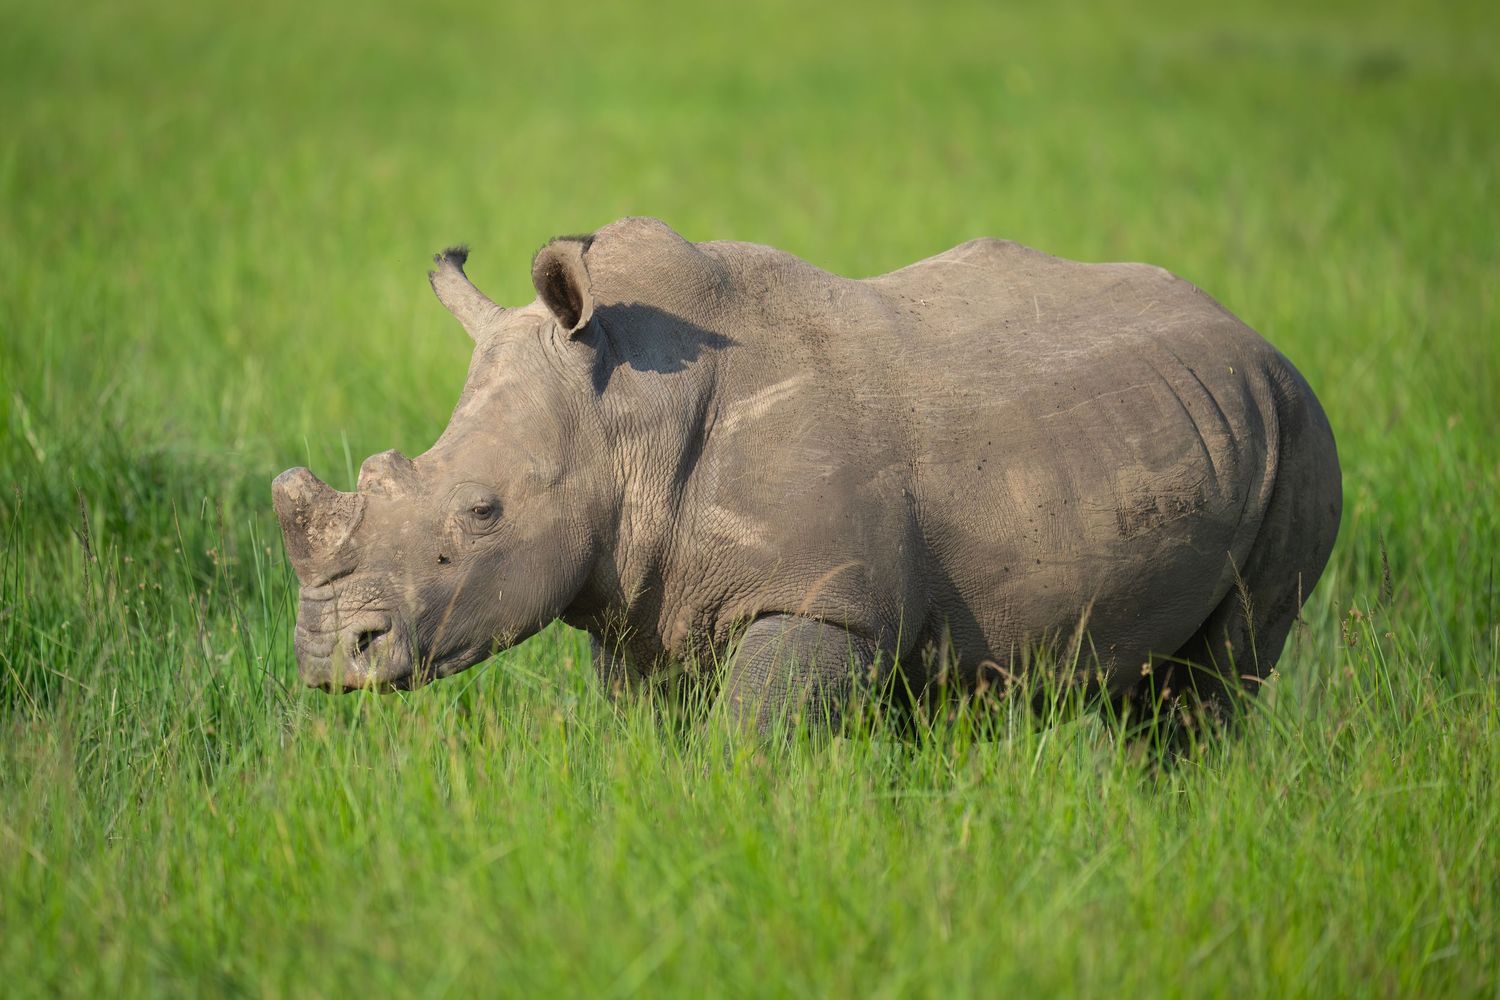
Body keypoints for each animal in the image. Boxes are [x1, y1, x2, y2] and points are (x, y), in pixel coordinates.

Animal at [272, 217, 1340, 732]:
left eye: (482, 511)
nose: (328, 653)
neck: (626, 416)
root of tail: (1254, 335)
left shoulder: (821, 603)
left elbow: (749, 748)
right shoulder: (637, 600)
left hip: (1299, 431)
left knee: (1214, 684)